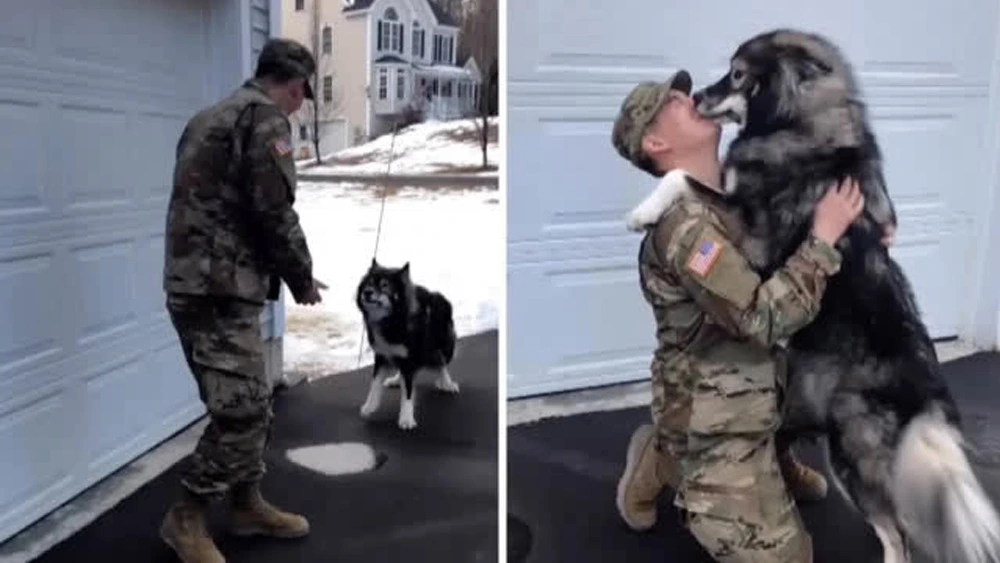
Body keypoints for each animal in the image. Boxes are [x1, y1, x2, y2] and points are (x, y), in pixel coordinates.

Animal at [354, 260, 458, 432]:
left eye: (384, 285)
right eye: (368, 284)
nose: (367, 292)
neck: (392, 320)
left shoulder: (409, 359)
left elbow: (408, 393)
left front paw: (406, 418)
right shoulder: (382, 356)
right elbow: (374, 385)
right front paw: (370, 406)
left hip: (441, 346)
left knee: (441, 362)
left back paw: (447, 383)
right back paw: (397, 379)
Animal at [624, 29, 1000, 563]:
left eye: (737, 74)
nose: (696, 98)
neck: (799, 126)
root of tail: (928, 405)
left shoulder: (754, 240)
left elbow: (684, 179)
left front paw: (642, 212)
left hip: (847, 454)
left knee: (897, 535)